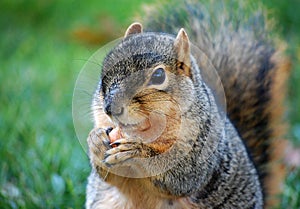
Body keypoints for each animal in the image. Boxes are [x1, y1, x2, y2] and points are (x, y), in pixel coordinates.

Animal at [85, 0, 290, 208]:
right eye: (106, 67)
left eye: (158, 76)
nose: (111, 108)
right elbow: (112, 177)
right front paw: (95, 140)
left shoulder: (201, 148)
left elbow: (181, 175)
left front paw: (136, 151)